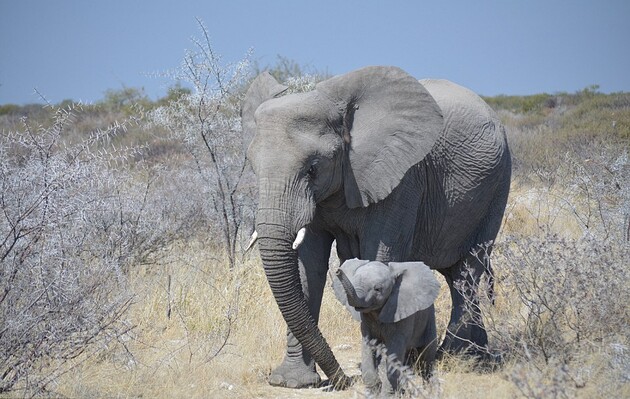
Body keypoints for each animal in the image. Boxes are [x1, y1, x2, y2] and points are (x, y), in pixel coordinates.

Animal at [334, 260, 442, 394]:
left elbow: (394, 351)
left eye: (377, 289)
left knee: (426, 359)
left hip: (429, 319)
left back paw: (430, 390)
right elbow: (368, 346)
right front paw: (373, 392)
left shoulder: (401, 312)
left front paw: (388, 394)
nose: (337, 271)